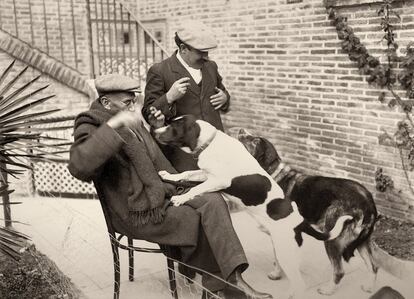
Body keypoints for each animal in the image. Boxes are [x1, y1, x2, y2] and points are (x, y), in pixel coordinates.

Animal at [152, 115, 350, 299]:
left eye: (173, 126)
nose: (154, 131)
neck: (210, 143)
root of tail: (299, 221)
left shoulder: (219, 180)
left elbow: (196, 188)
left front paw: (181, 198)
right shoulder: (206, 174)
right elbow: (187, 173)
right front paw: (169, 175)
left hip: (284, 252)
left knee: (300, 285)